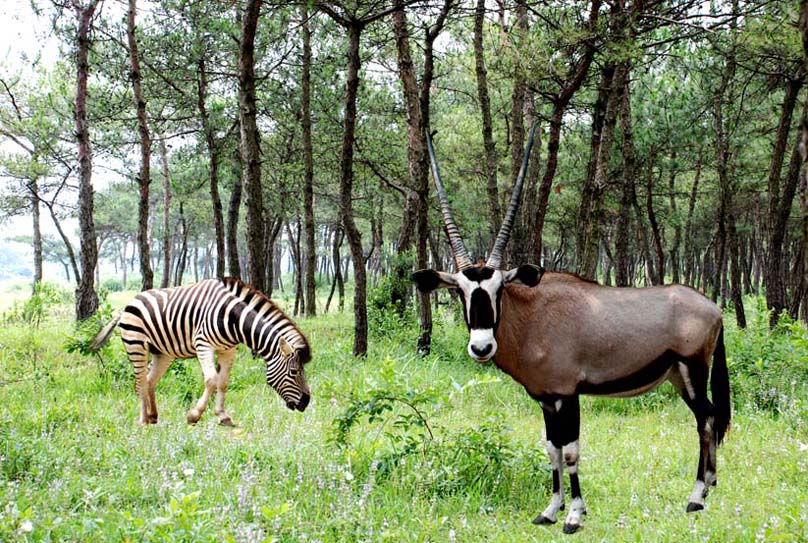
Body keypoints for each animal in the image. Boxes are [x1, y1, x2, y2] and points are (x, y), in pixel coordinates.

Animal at [91, 278, 312, 428]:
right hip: (135, 344)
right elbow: (211, 380)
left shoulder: (228, 349)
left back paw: (153, 416)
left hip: (162, 352)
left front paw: (223, 417)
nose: (306, 402)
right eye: (294, 373)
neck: (233, 319)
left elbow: (223, 382)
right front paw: (194, 415)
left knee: (150, 381)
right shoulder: (203, 343)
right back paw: (143, 420)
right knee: (140, 382)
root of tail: (128, 303)